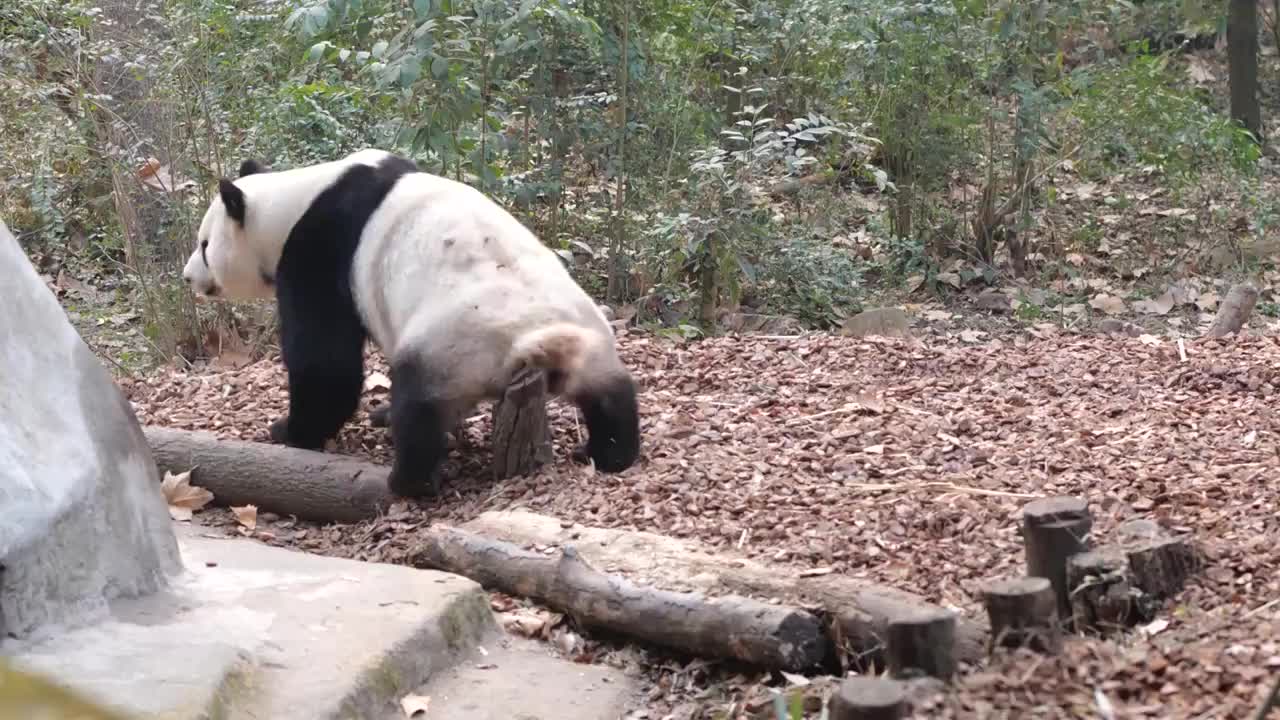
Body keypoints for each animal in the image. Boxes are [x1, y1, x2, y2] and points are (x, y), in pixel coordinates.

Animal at [180, 148, 640, 497]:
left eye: (204, 246)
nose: (188, 277)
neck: (294, 198)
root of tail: (538, 342)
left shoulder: (322, 246)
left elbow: (325, 359)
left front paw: (290, 431)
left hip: (455, 340)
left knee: (420, 403)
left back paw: (408, 477)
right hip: (588, 333)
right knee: (611, 393)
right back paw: (609, 452)